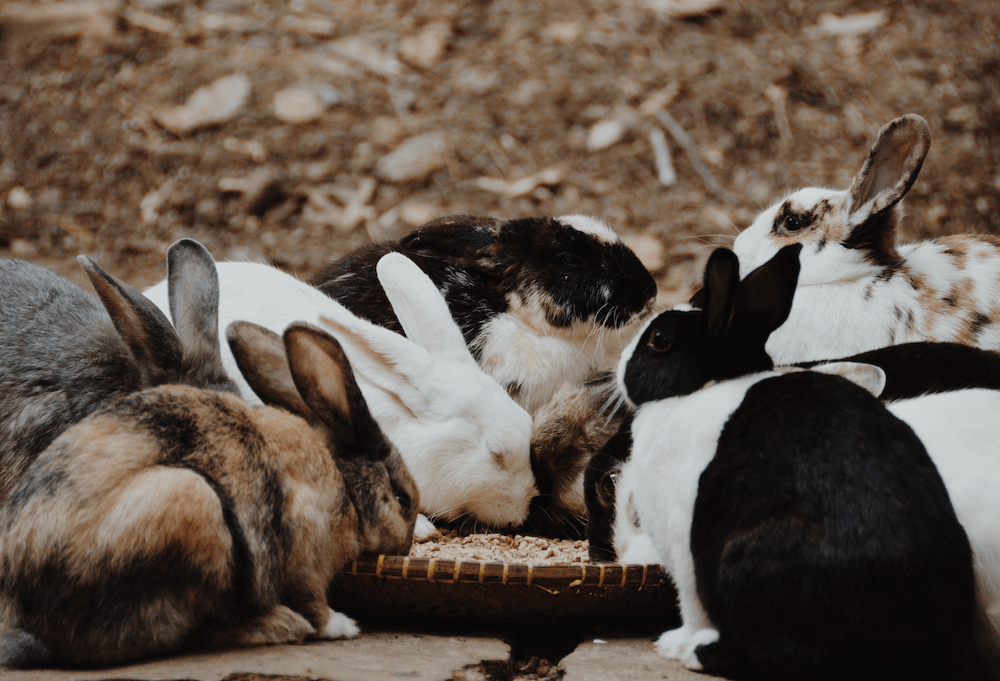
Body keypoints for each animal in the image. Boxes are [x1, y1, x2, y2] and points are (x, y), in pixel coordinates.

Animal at [0, 320, 417, 669]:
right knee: (189, 635)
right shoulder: (306, 554)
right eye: (403, 500)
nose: (405, 546)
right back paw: (280, 625)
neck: (344, 484)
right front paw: (343, 626)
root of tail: (40, 627)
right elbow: (315, 603)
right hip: (192, 509)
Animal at [613, 245, 981, 681]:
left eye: (659, 340)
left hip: (751, 567)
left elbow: (692, 604)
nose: (618, 367)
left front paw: (676, 641)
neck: (705, 386)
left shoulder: (681, 543)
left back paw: (690, 650)